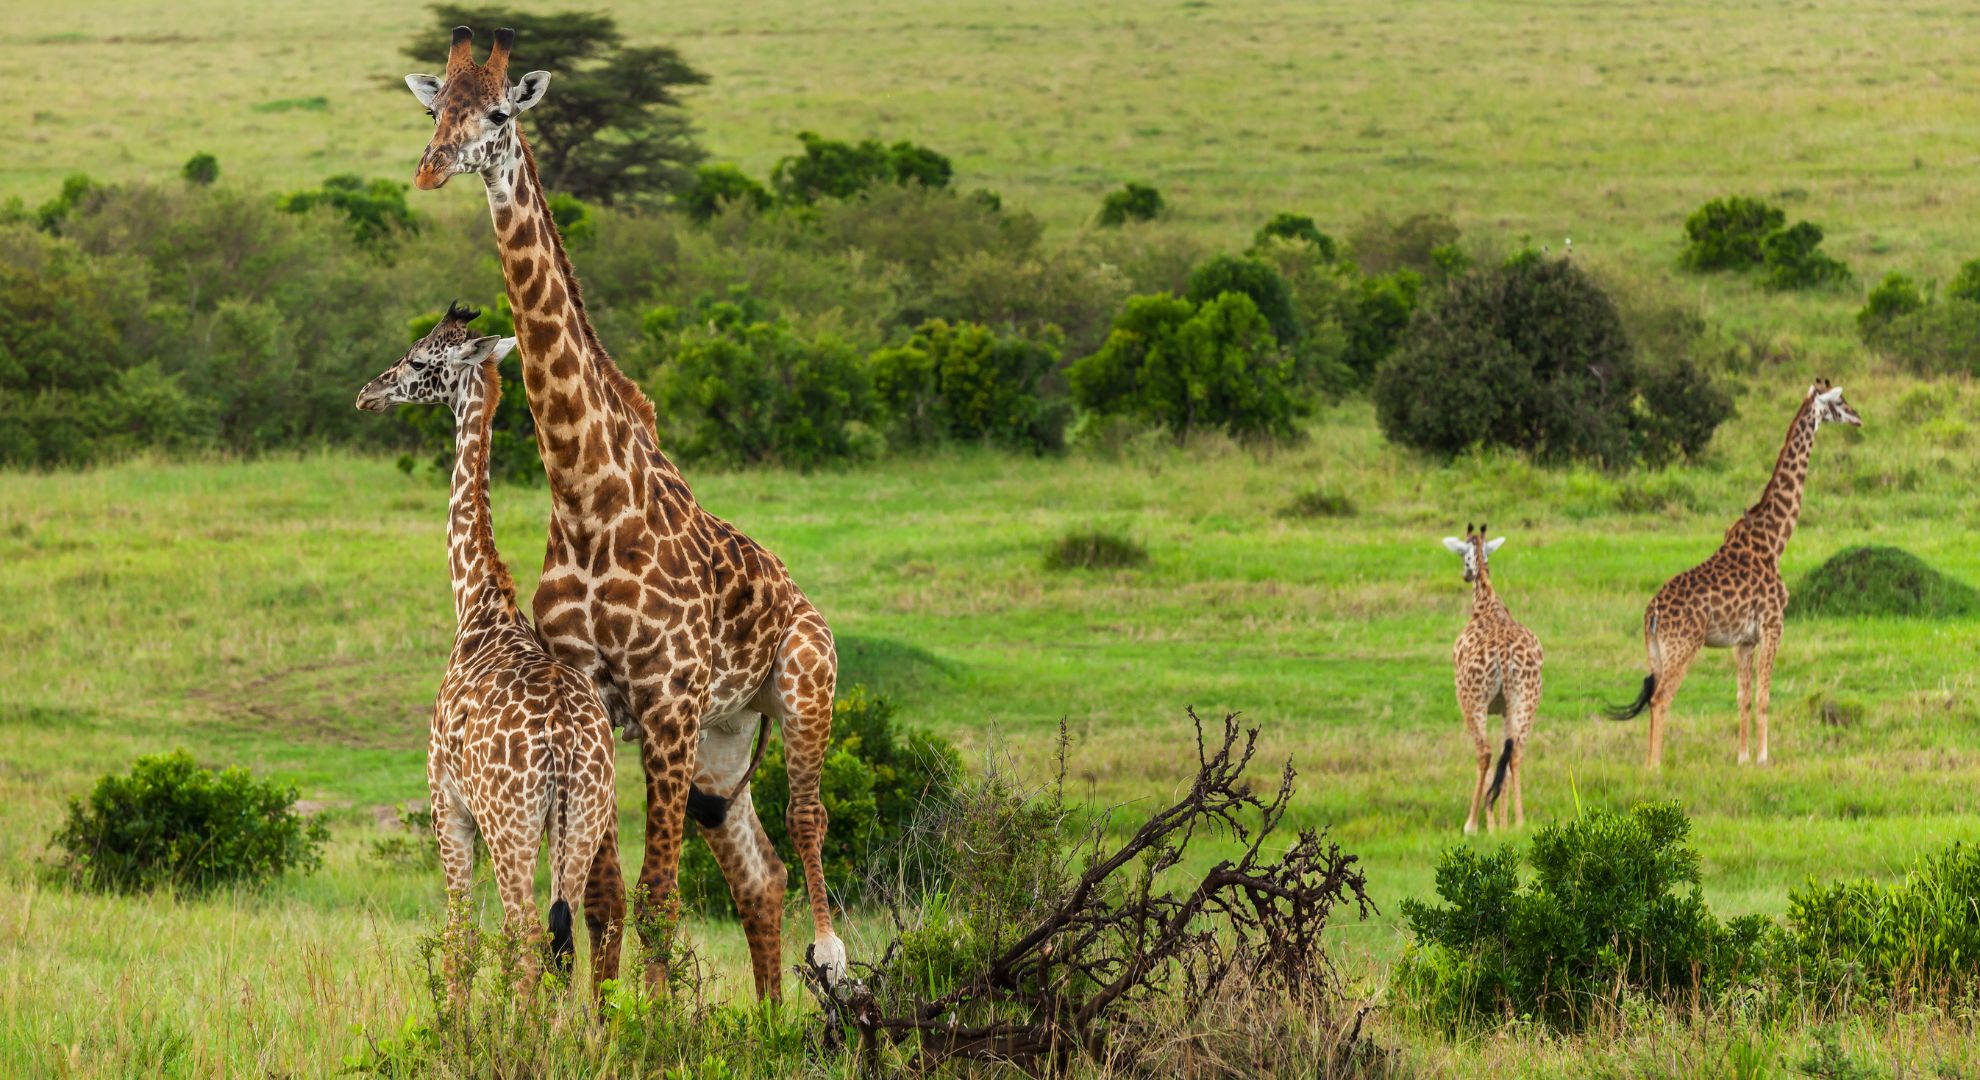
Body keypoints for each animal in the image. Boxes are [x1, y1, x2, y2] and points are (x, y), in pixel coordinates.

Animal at [356, 301, 617, 994]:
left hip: (509, 823)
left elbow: (457, 938)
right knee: (568, 937)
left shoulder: (446, 803)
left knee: (525, 933)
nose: (369, 392)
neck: (477, 602)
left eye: (420, 360)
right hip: (583, 818)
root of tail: (562, 744)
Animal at [401, 27, 843, 1002]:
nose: (431, 169)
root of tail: (798, 597)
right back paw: (768, 1020)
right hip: (724, 744)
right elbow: (601, 901)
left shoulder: (666, 703)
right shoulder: (600, 697)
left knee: (808, 817)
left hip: (801, 688)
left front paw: (654, 1022)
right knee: (759, 873)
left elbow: (656, 900)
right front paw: (609, 1020)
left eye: (500, 113)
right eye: (434, 107)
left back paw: (831, 962)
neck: (588, 496)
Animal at [1441, 523, 1544, 832]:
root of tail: (1504, 655)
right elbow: (1506, 762)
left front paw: (1489, 824)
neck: (1487, 604)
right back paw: (1520, 821)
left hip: (1470, 700)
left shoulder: (1484, 705)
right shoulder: (1504, 708)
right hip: (1526, 700)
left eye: (1463, 557)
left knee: (1485, 752)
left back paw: (1472, 824)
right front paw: (1502, 824)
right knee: (1515, 752)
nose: (1465, 575)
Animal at [1607, 378, 1869, 764]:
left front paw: (1742, 758)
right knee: (1661, 698)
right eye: (1839, 401)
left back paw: (1645, 764)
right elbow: (1763, 696)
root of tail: (1652, 613)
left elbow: (1742, 698)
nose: (1858, 417)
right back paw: (1655, 767)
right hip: (1683, 647)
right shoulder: (1774, 626)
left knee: (1653, 697)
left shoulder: (1743, 639)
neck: (1775, 539)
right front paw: (1763, 758)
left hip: (1655, 651)